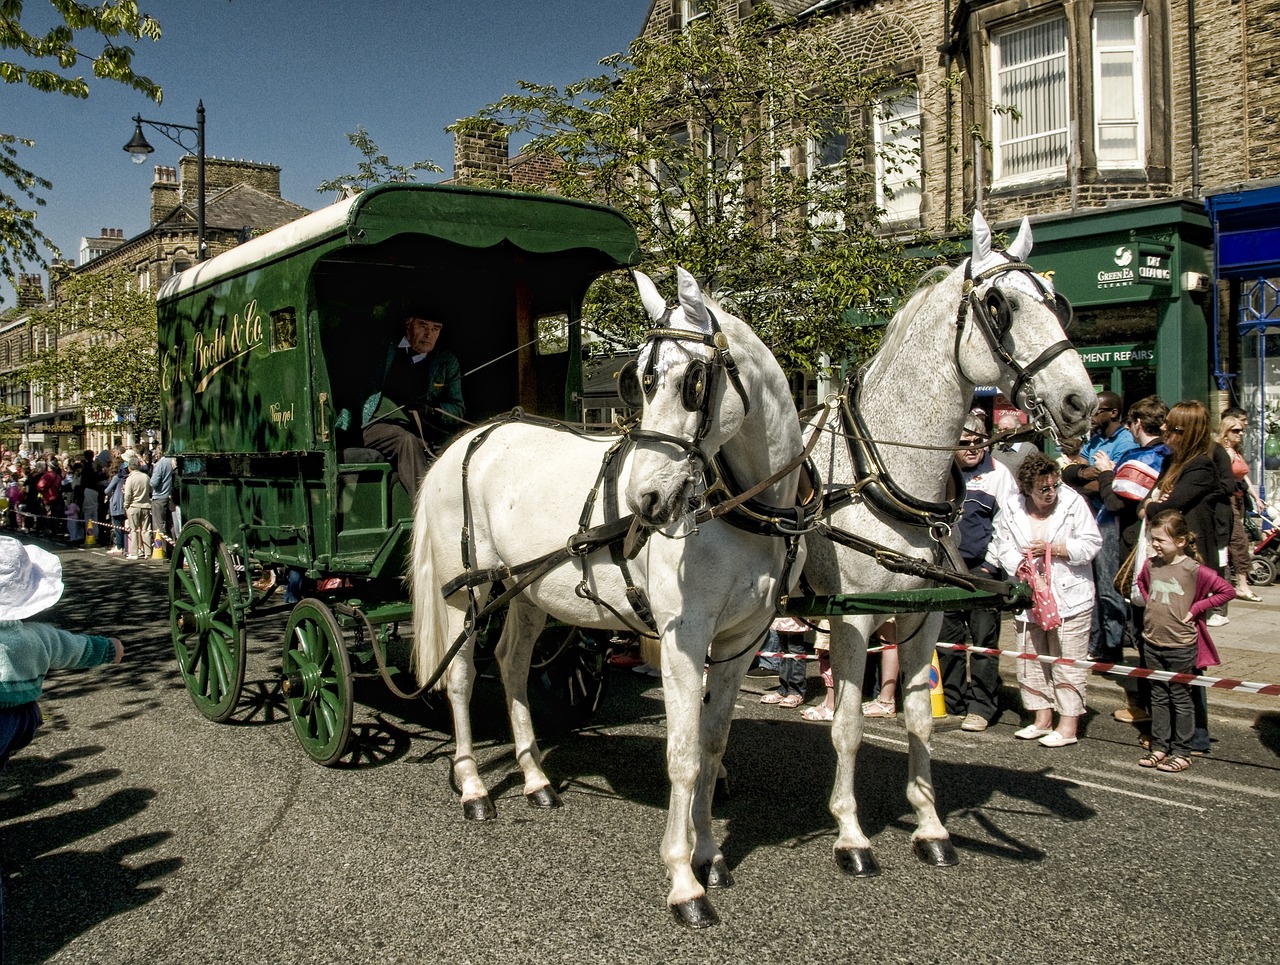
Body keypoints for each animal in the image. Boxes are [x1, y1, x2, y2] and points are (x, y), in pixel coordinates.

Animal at [409, 264, 803, 926]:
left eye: (694, 381)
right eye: (637, 380)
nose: (647, 501)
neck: (739, 512)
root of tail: (469, 439)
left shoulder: (741, 642)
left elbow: (713, 746)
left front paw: (710, 854)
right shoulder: (682, 639)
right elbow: (683, 755)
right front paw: (683, 878)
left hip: (526, 592)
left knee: (510, 665)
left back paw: (535, 778)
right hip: (469, 590)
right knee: (460, 675)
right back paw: (473, 787)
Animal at [803, 209, 1095, 870]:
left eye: (1057, 304)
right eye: (1000, 305)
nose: (1081, 401)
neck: (882, 468)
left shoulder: (925, 614)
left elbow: (917, 719)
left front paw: (931, 826)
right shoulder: (851, 617)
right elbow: (849, 724)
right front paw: (850, 832)